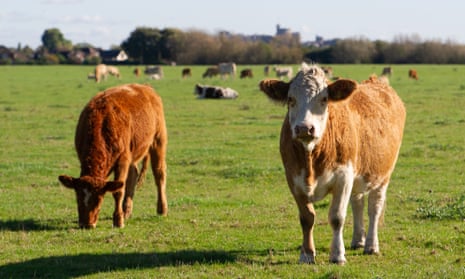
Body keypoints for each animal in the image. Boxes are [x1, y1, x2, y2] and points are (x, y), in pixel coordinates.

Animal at [57, 83, 168, 230]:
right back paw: (127, 211)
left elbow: (118, 191)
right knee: (133, 174)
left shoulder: (123, 160)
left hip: (158, 140)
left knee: (159, 174)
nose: (87, 224)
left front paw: (118, 220)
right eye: (78, 197)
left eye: (99, 199)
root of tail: (145, 87)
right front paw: (121, 216)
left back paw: (162, 209)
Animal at [260, 64, 404, 266]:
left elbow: (337, 217)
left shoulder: (343, 178)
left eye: (324, 99)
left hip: (383, 175)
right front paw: (306, 254)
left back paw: (371, 245)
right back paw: (358, 241)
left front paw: (337, 255)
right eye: (290, 99)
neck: (311, 159)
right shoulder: (293, 179)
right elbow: (307, 218)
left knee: (374, 208)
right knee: (358, 203)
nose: (304, 128)